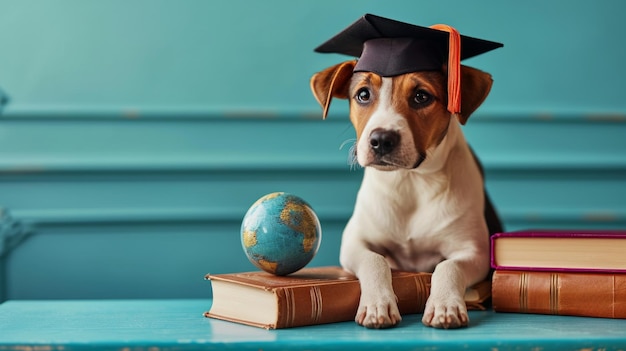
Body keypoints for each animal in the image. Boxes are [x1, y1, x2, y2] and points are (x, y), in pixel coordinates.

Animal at [308, 15, 502, 330]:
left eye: (421, 96)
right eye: (363, 94)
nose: (381, 140)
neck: (410, 182)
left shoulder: (474, 252)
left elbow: (447, 266)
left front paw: (445, 304)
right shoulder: (353, 243)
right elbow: (375, 261)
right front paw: (377, 304)